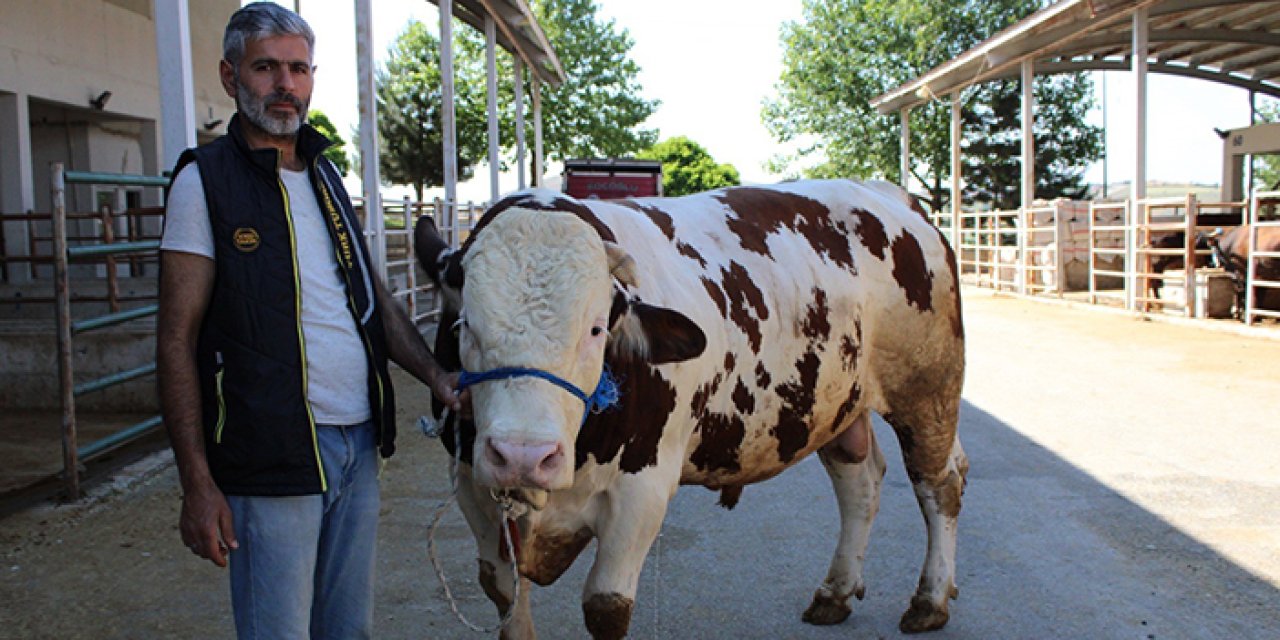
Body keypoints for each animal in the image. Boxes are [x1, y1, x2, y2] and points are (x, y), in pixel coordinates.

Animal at [414, 177, 962, 637]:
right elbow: (507, 598)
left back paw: (930, 600)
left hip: (928, 391)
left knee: (940, 483)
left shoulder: (642, 492)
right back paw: (836, 592)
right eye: (464, 325)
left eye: (596, 328)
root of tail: (889, 193)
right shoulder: (473, 489)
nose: (523, 455)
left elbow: (606, 606)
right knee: (859, 483)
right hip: (836, 407)